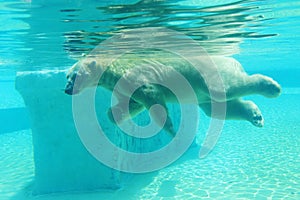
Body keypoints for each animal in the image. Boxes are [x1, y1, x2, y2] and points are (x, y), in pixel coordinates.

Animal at [65, 50, 282, 137]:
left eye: (74, 76)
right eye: (67, 76)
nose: (67, 89)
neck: (112, 68)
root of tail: (233, 60)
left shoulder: (135, 76)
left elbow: (152, 97)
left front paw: (171, 130)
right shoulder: (120, 87)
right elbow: (131, 103)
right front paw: (114, 116)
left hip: (207, 74)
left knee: (224, 89)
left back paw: (272, 87)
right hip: (202, 94)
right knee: (219, 108)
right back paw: (255, 115)